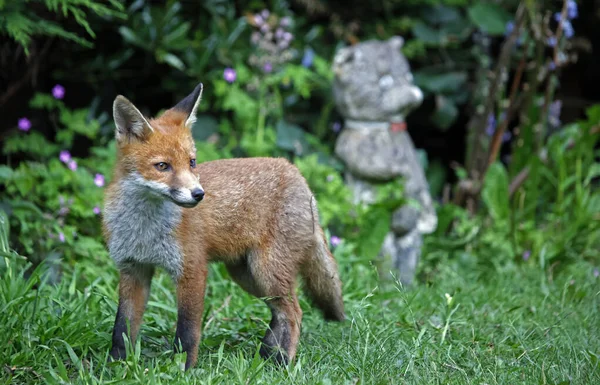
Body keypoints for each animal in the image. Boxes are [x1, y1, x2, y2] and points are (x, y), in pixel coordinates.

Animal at [102, 82, 344, 368]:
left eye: (192, 162)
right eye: (162, 166)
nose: (198, 194)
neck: (144, 229)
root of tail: (297, 174)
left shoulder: (192, 269)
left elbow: (187, 330)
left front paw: (182, 369)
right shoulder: (133, 269)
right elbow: (122, 328)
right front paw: (115, 366)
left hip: (266, 270)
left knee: (295, 312)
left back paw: (281, 362)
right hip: (247, 275)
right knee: (280, 312)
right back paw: (266, 355)